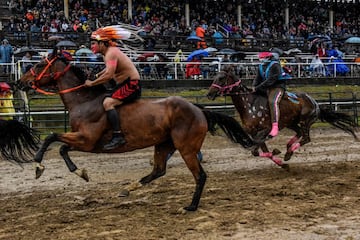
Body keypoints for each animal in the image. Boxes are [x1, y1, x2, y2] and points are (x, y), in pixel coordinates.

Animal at [18, 51, 255, 212]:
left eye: (39, 64)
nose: (20, 82)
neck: (84, 101)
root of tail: (198, 109)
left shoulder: (87, 140)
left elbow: (51, 138)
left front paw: (38, 166)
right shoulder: (85, 142)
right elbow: (62, 148)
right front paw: (80, 172)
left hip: (186, 149)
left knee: (200, 176)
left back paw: (191, 206)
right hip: (163, 144)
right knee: (158, 170)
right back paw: (129, 188)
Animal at [207, 65, 358, 167]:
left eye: (221, 78)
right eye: (214, 76)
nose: (209, 94)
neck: (249, 104)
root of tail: (315, 103)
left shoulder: (264, 131)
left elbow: (256, 150)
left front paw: (277, 153)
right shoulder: (255, 135)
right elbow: (259, 151)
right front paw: (280, 161)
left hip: (305, 121)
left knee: (306, 138)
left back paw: (289, 151)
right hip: (291, 123)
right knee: (299, 134)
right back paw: (288, 150)